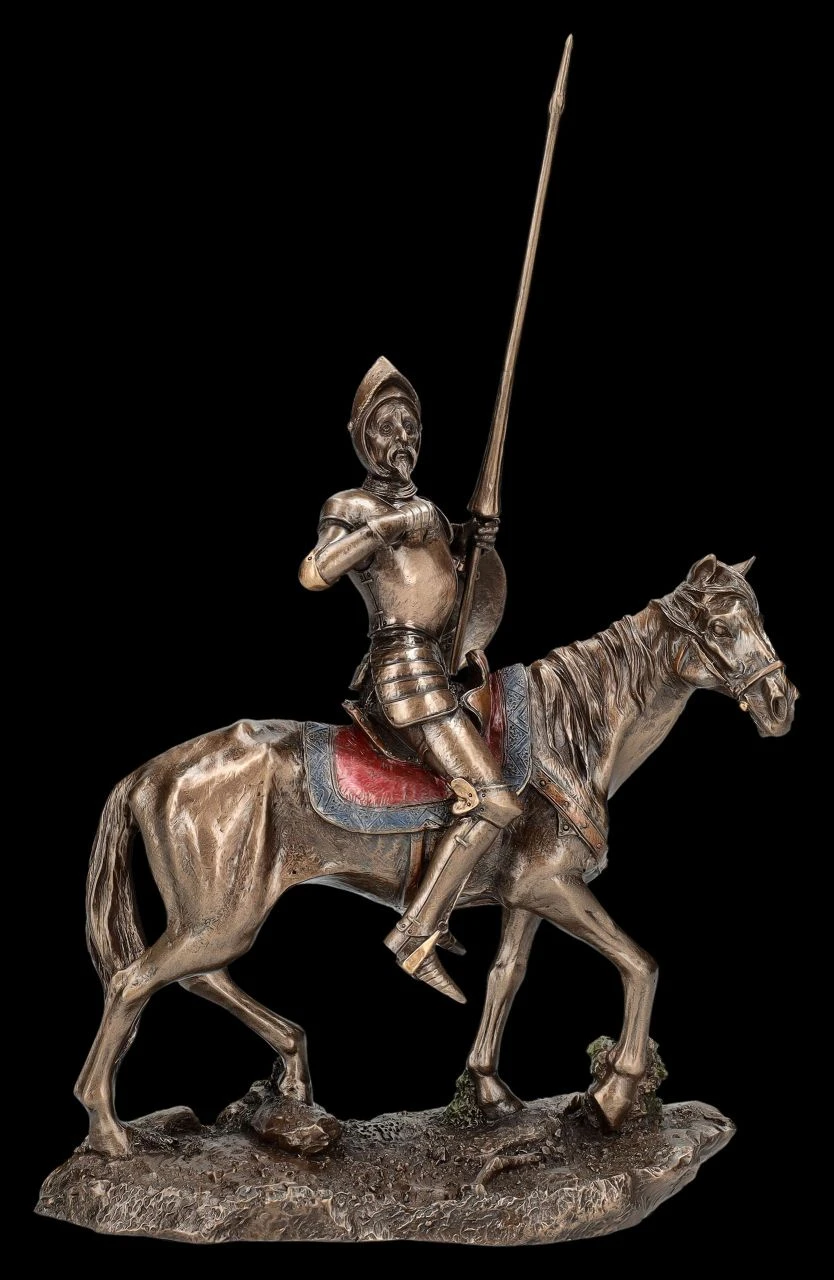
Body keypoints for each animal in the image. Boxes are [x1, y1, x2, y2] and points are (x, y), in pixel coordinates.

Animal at [75, 554, 795, 1158]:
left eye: (757, 616)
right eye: (723, 623)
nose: (781, 703)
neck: (567, 735)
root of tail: (151, 773)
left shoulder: (529, 895)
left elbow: (507, 976)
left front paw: (490, 1091)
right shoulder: (554, 888)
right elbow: (641, 964)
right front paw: (615, 1096)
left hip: (216, 915)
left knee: (197, 978)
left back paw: (292, 1067)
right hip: (223, 916)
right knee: (135, 981)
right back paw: (109, 1134)